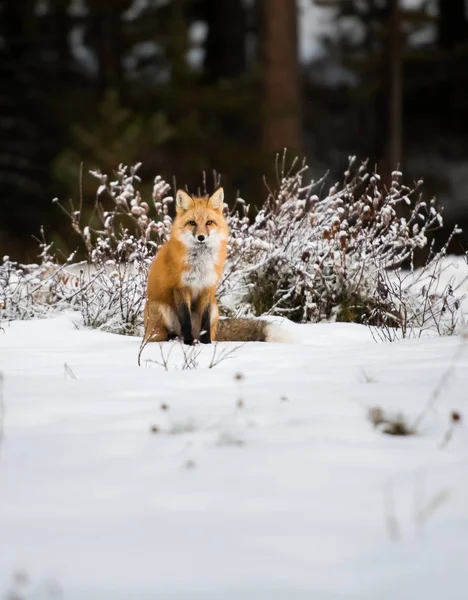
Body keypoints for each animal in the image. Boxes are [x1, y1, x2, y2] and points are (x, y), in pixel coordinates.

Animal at [144, 188, 288, 346]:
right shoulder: (181, 288)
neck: (200, 264)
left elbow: (205, 323)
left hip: (214, 308)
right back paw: (176, 338)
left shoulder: (207, 288)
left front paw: (206, 344)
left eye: (209, 222)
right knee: (163, 335)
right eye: (192, 223)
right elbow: (186, 321)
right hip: (160, 310)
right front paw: (188, 343)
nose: (201, 237)